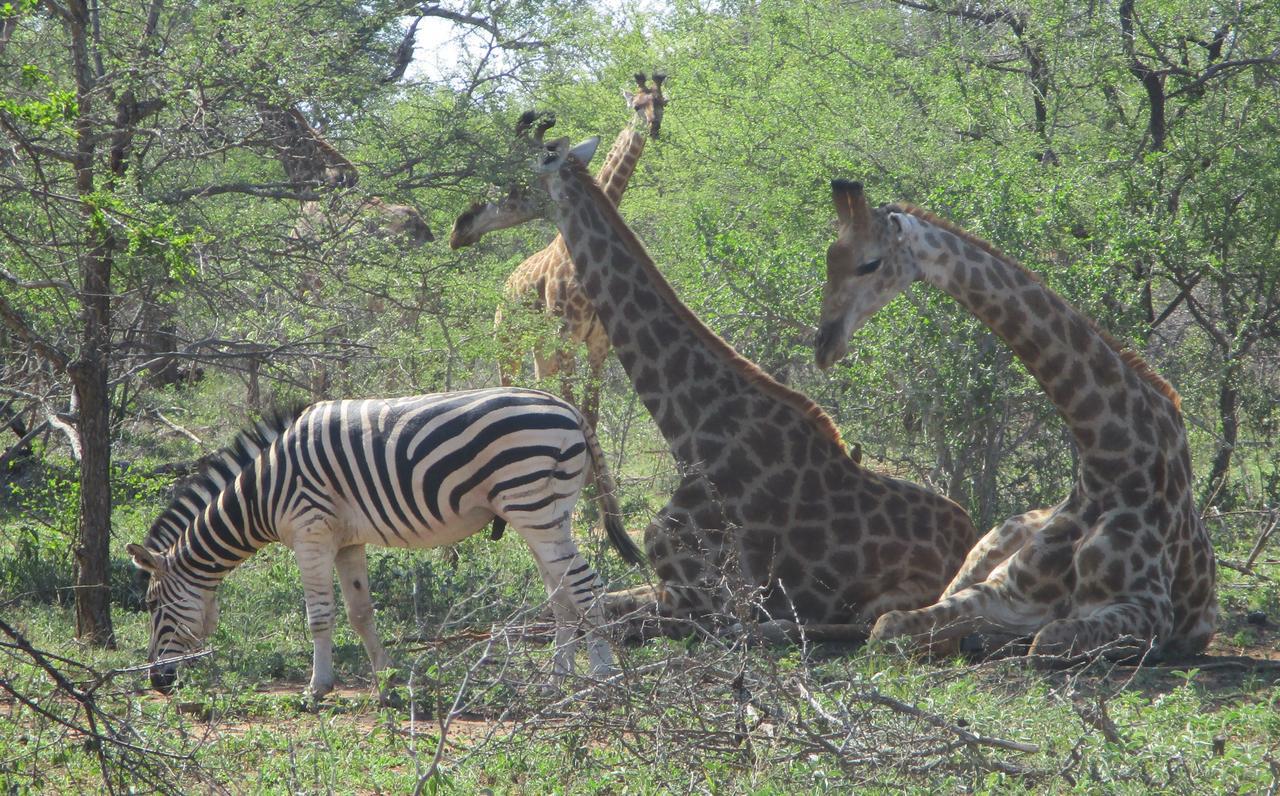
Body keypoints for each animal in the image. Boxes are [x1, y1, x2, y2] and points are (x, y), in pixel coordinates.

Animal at [129, 389, 645, 701]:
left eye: (153, 605)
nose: (158, 682)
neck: (262, 492)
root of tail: (567, 406)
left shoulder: (310, 532)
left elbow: (319, 615)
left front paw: (317, 689)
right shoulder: (345, 541)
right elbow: (360, 612)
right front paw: (387, 683)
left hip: (533, 503)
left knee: (586, 585)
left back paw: (603, 678)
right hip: (549, 511)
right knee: (561, 593)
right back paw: (557, 681)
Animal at [450, 73, 670, 429]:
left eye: (662, 102)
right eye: (637, 105)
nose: (458, 228)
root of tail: (505, 287)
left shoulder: (598, 344)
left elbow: (590, 413)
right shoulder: (566, 338)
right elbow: (575, 408)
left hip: (539, 349)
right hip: (508, 342)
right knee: (512, 385)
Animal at [453, 113, 977, 637]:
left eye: (514, 181)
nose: (462, 224)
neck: (690, 432)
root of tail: (971, 532)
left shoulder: (704, 593)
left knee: (863, 624)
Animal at [814, 180, 1213, 660]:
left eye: (870, 263)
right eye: (830, 258)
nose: (824, 344)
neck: (1110, 456)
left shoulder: (1149, 611)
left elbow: (1046, 639)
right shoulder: (1005, 591)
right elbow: (890, 625)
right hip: (988, 545)